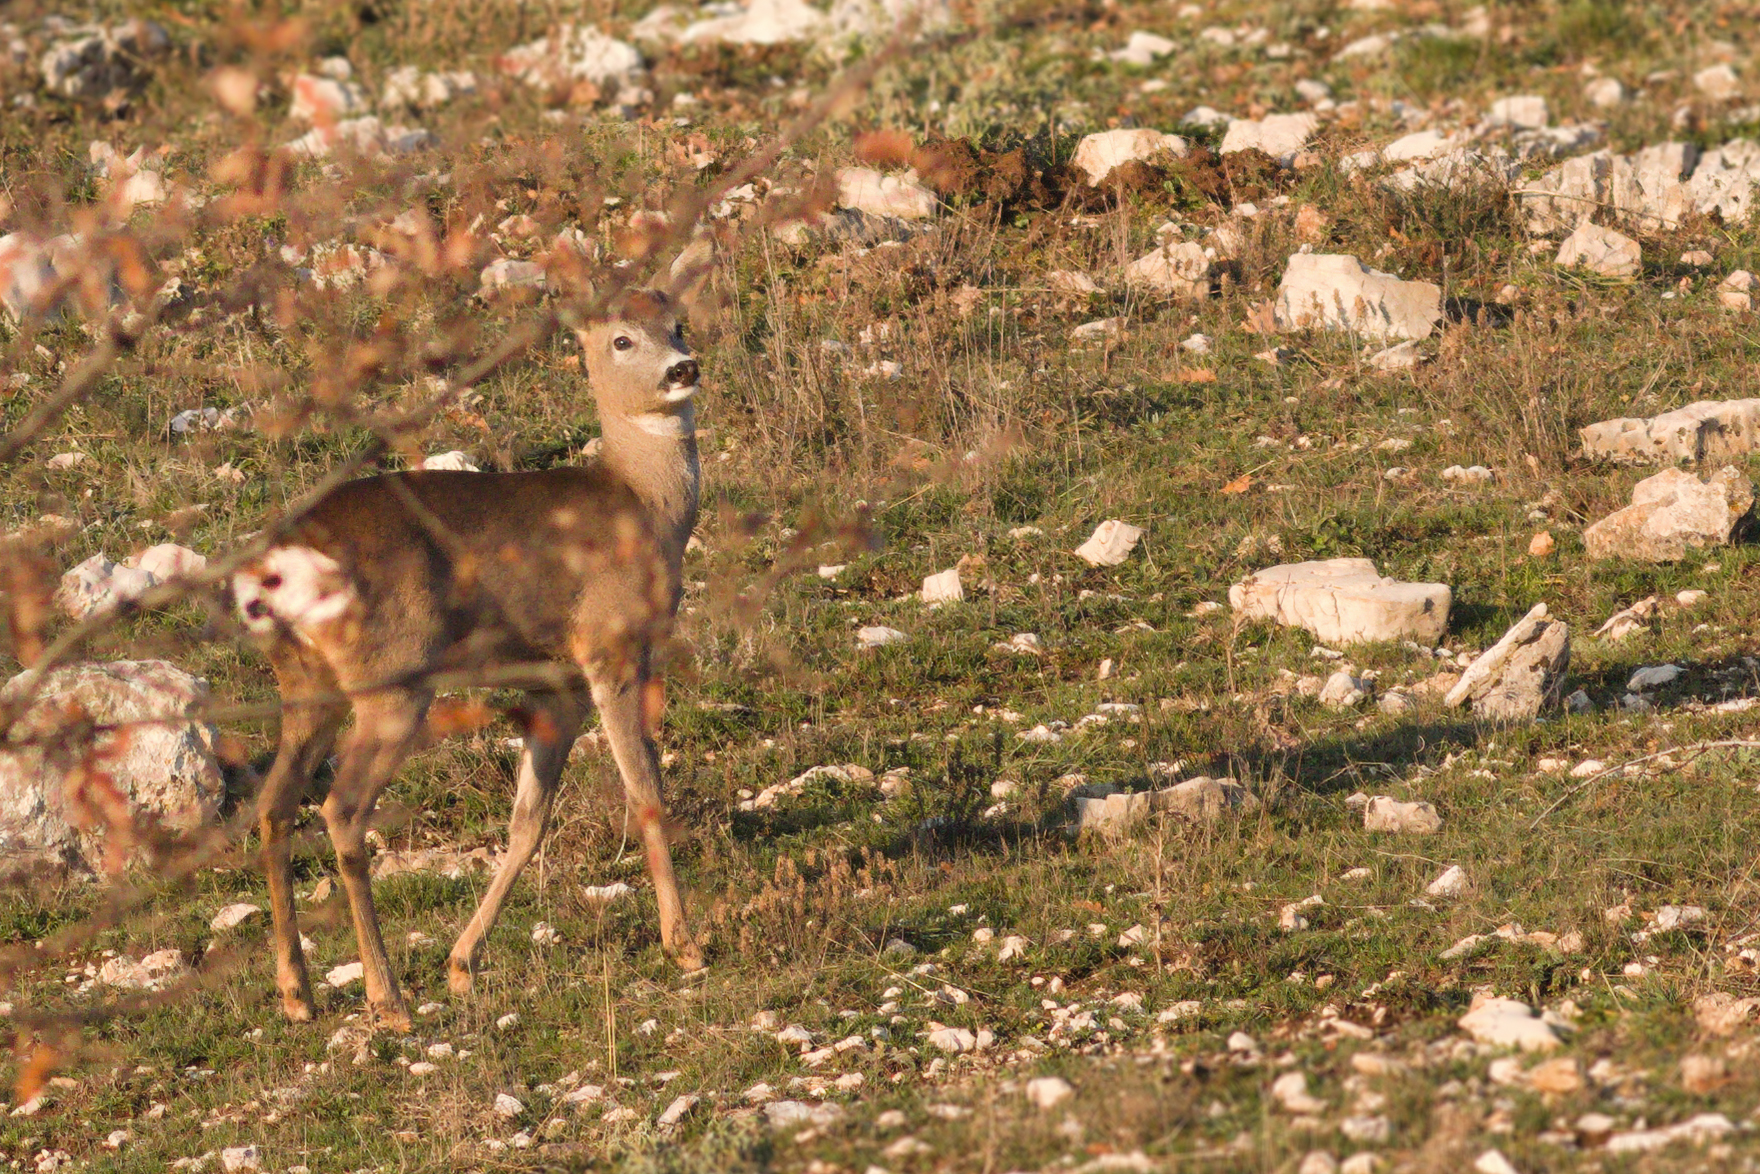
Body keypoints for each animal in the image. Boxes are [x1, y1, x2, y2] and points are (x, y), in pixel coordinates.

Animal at [233, 287, 705, 1030]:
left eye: (676, 322)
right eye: (622, 339)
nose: (683, 368)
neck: (644, 506)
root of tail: (270, 570)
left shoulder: (557, 685)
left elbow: (528, 821)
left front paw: (461, 963)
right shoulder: (611, 646)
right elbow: (645, 789)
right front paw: (683, 944)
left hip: (306, 684)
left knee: (275, 804)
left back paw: (297, 994)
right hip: (392, 680)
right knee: (342, 808)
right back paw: (387, 997)